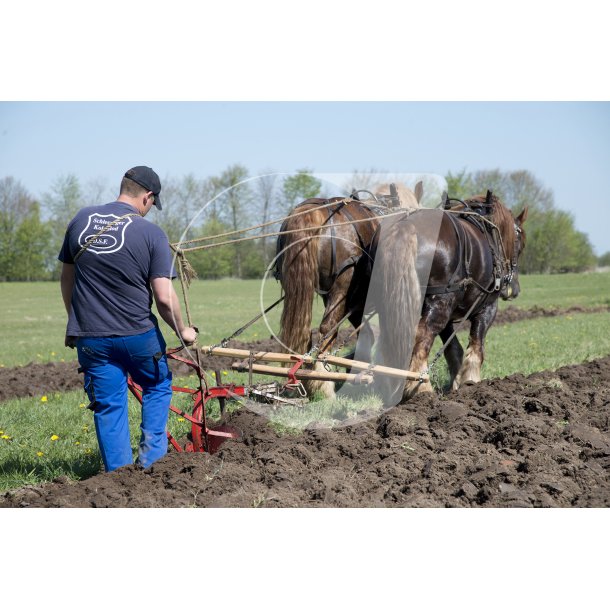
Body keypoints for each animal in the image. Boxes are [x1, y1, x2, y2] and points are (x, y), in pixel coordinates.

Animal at [368, 192, 524, 402]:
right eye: (519, 244)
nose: (513, 289)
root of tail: (407, 226)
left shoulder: (449, 314)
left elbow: (453, 349)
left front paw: (456, 384)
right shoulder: (488, 307)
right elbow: (477, 343)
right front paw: (471, 381)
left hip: (391, 301)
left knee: (392, 336)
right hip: (441, 302)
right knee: (422, 334)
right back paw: (421, 387)